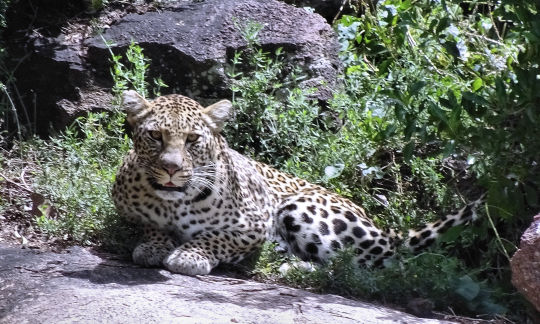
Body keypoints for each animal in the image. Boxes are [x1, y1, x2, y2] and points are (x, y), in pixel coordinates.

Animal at [112, 90, 484, 276]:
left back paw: (295, 268)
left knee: (370, 269)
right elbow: (150, 225)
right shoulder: (128, 209)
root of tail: (383, 229)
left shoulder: (255, 222)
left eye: (191, 139)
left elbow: (215, 237)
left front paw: (188, 256)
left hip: (302, 208)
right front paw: (154, 245)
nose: (171, 168)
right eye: (156, 136)